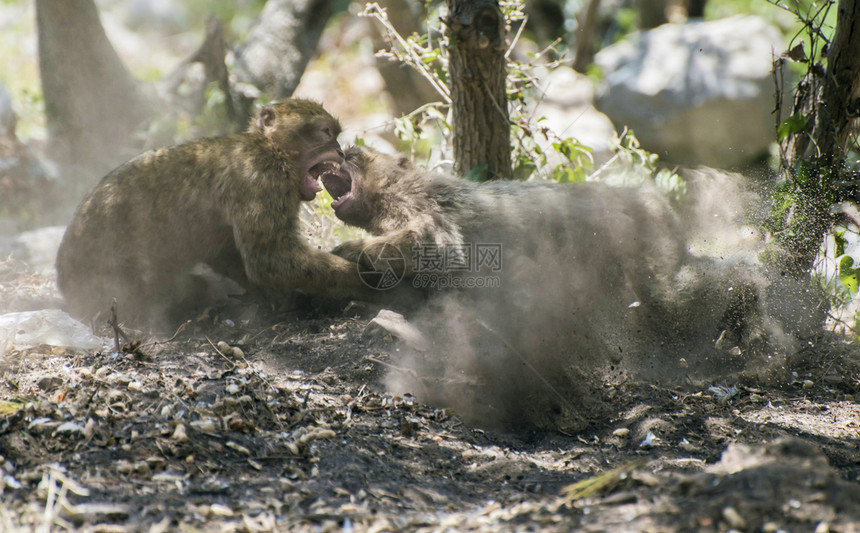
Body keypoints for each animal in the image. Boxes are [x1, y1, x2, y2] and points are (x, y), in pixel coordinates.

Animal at [54, 97, 390, 326]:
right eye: (324, 132)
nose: (340, 151)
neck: (271, 148)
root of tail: (66, 286)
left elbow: (229, 253)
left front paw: (274, 296)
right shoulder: (262, 177)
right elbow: (270, 258)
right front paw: (364, 282)